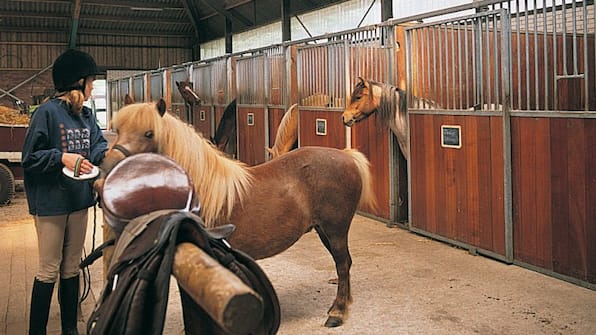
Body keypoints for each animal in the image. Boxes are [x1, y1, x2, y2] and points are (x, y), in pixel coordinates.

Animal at [99, 99, 374, 328]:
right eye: (118, 130)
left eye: (149, 133)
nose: (106, 170)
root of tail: (346, 156)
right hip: (323, 230)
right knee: (345, 263)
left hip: (335, 229)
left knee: (342, 264)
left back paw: (337, 313)